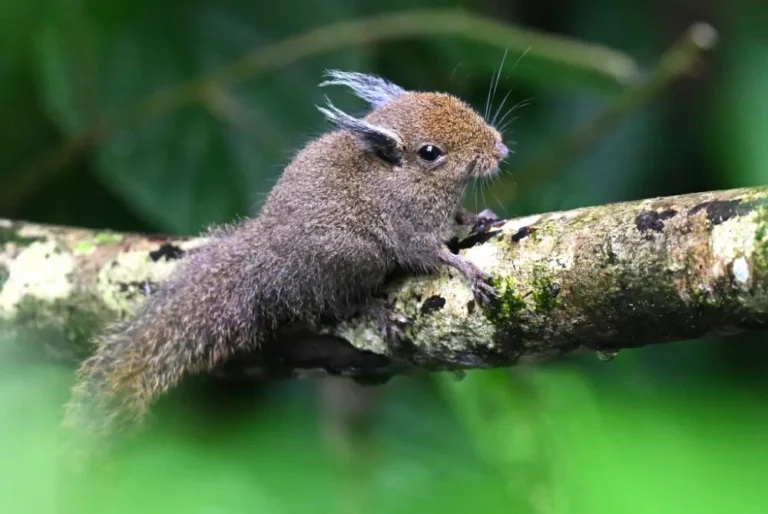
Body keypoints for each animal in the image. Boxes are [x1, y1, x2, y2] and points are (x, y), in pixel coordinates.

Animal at [63, 70, 509, 451]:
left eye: (458, 103)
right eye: (430, 152)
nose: (500, 148)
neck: (403, 179)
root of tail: (268, 259)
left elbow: (459, 219)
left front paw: (478, 217)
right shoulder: (407, 227)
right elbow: (431, 255)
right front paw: (468, 270)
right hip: (354, 257)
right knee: (335, 302)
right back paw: (374, 309)